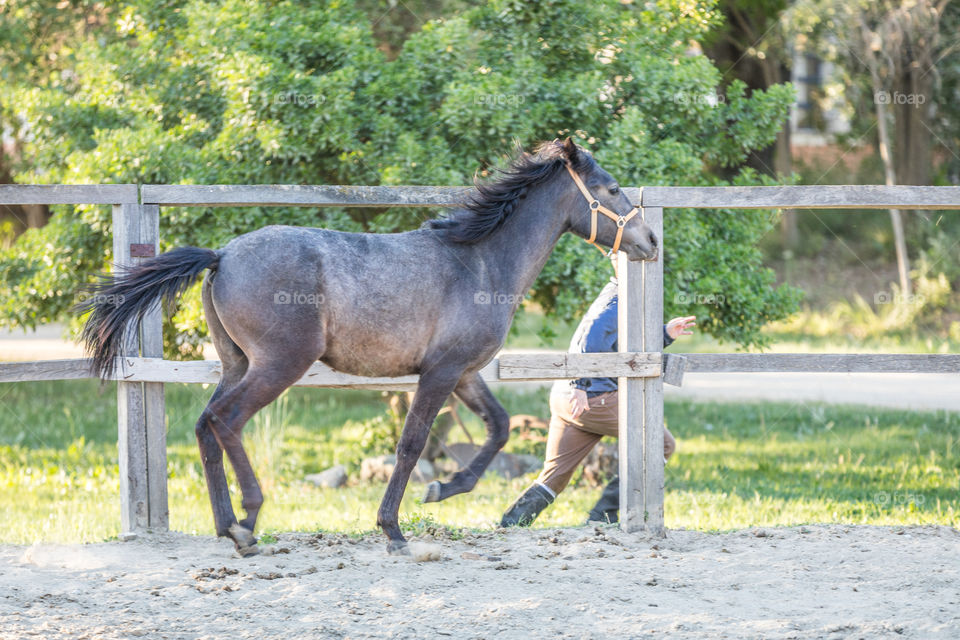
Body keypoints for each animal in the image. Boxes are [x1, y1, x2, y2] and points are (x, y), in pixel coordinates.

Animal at [79, 139, 660, 556]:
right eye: (610, 189)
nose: (650, 243)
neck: (479, 262)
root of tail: (221, 255)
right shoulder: (440, 373)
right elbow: (412, 444)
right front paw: (393, 529)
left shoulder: (464, 372)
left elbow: (497, 429)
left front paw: (446, 488)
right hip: (279, 364)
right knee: (226, 421)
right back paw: (247, 521)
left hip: (236, 363)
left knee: (205, 424)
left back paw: (231, 527)